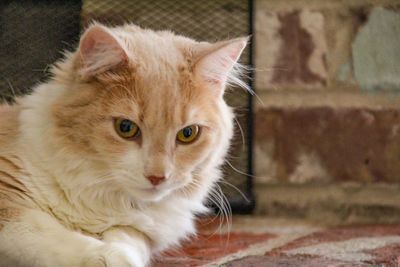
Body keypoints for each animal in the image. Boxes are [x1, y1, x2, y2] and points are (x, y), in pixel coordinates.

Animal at [0, 23, 247, 267]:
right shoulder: (8, 204)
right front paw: (111, 257)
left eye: (188, 134)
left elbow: (129, 238)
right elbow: (50, 235)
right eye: (126, 128)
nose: (157, 177)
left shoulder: (137, 229)